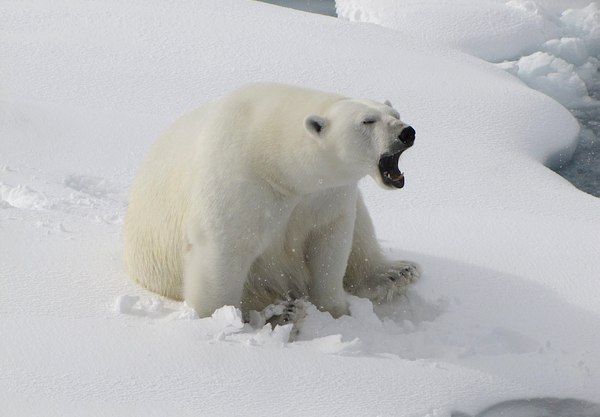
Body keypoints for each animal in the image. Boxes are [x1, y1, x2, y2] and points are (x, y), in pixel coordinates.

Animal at [124, 83, 420, 326]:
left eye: (395, 113)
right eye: (367, 121)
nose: (407, 132)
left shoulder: (327, 194)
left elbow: (329, 243)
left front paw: (336, 311)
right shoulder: (241, 181)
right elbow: (224, 249)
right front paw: (219, 318)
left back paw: (396, 272)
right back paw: (280, 314)